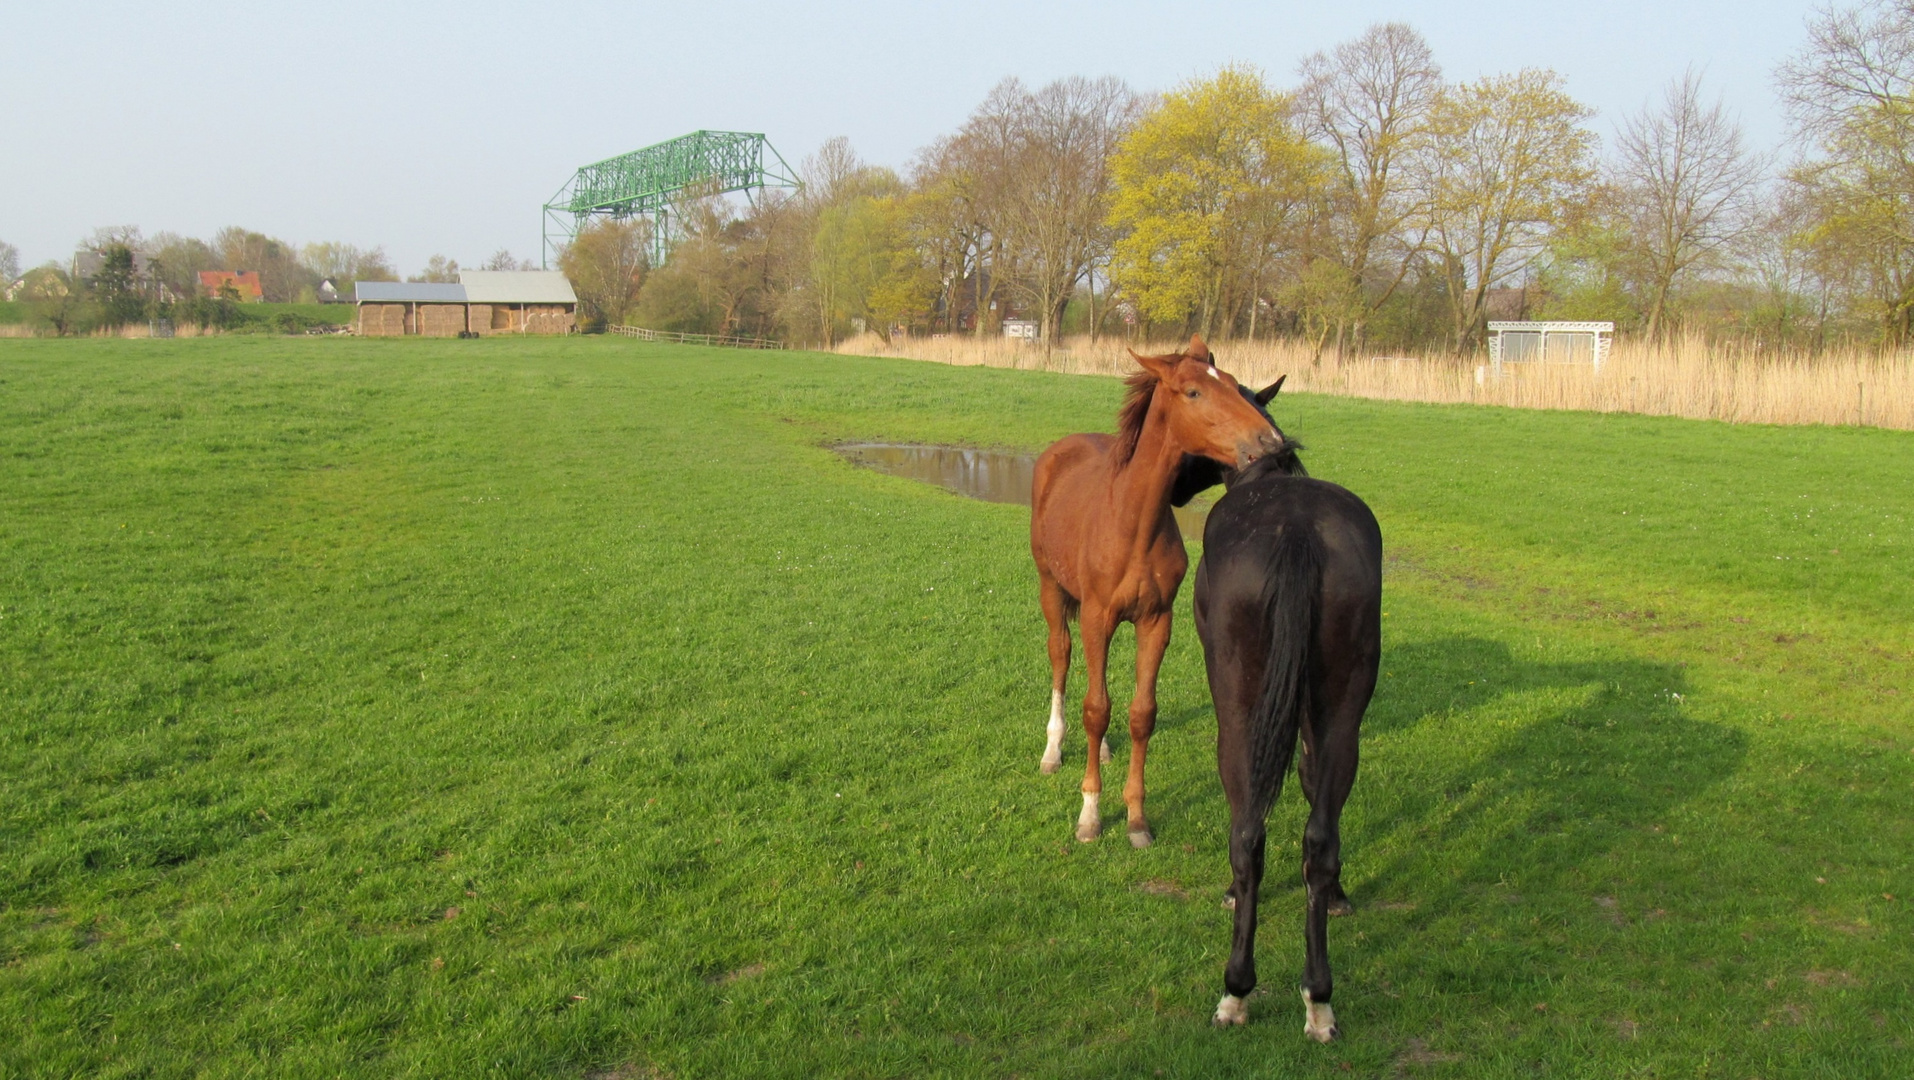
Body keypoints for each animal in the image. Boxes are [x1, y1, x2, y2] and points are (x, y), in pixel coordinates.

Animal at [1033, 335, 1286, 842]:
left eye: (1233, 384)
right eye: (1193, 392)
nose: (1270, 442)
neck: (1133, 523)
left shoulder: (1156, 620)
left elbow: (1139, 714)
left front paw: (1136, 818)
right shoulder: (1097, 616)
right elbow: (1095, 709)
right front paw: (1090, 814)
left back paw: (1102, 750)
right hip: (1052, 589)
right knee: (1061, 656)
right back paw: (1052, 750)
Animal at [1194, 388, 1378, 1034]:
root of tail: (1298, 534)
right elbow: (1309, 781)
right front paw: (1339, 895)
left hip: (1238, 712)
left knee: (1248, 832)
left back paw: (1236, 990)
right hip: (1342, 705)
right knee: (1320, 835)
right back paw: (1318, 996)